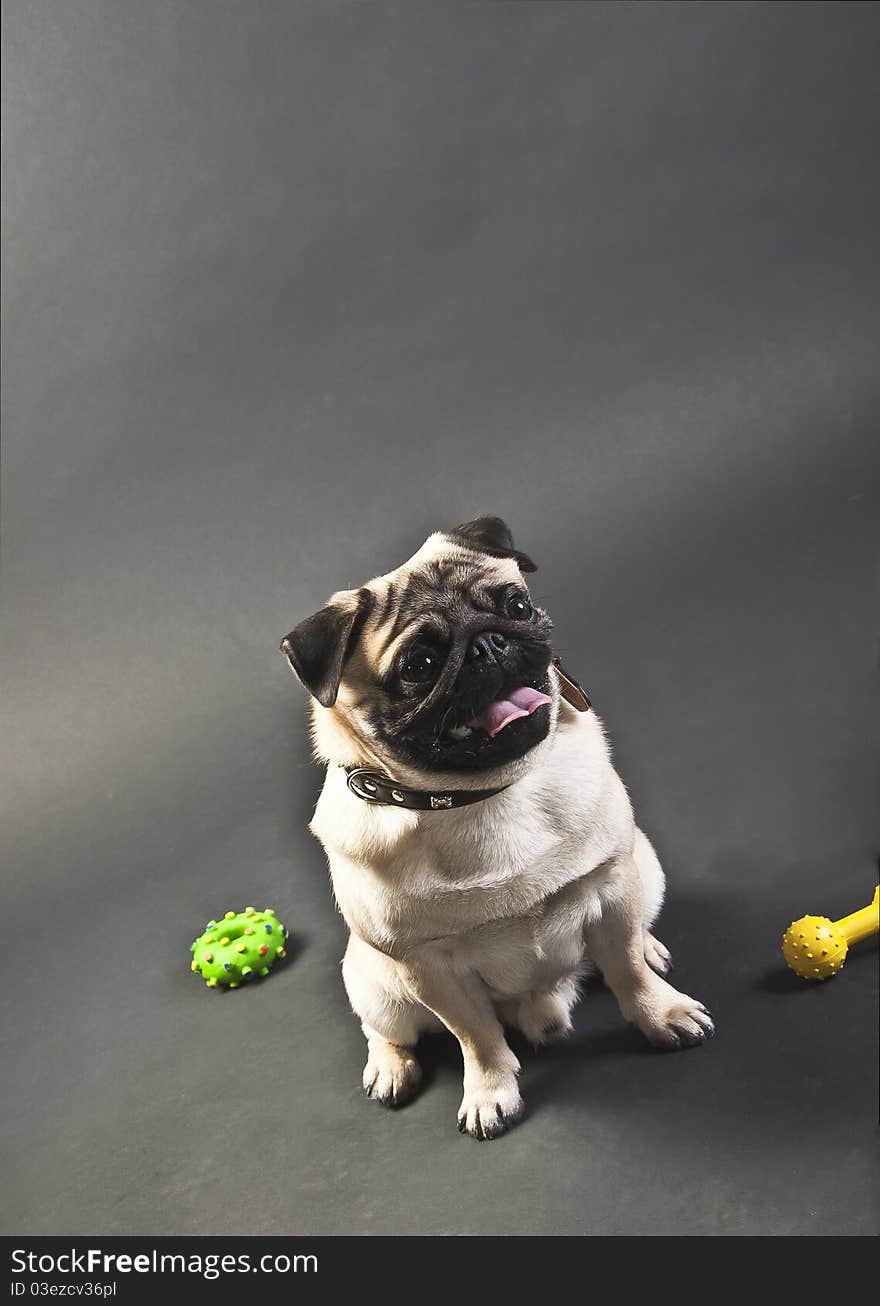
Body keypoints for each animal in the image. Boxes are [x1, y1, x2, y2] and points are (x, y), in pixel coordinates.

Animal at [280, 514, 710, 1138]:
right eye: (419, 667)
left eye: (517, 605)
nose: (488, 644)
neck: (481, 797)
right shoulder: (429, 968)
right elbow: (475, 1035)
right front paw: (489, 1092)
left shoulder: (612, 888)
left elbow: (626, 968)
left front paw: (662, 1014)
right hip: (375, 985)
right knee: (386, 1029)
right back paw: (390, 1067)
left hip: (645, 868)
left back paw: (650, 947)